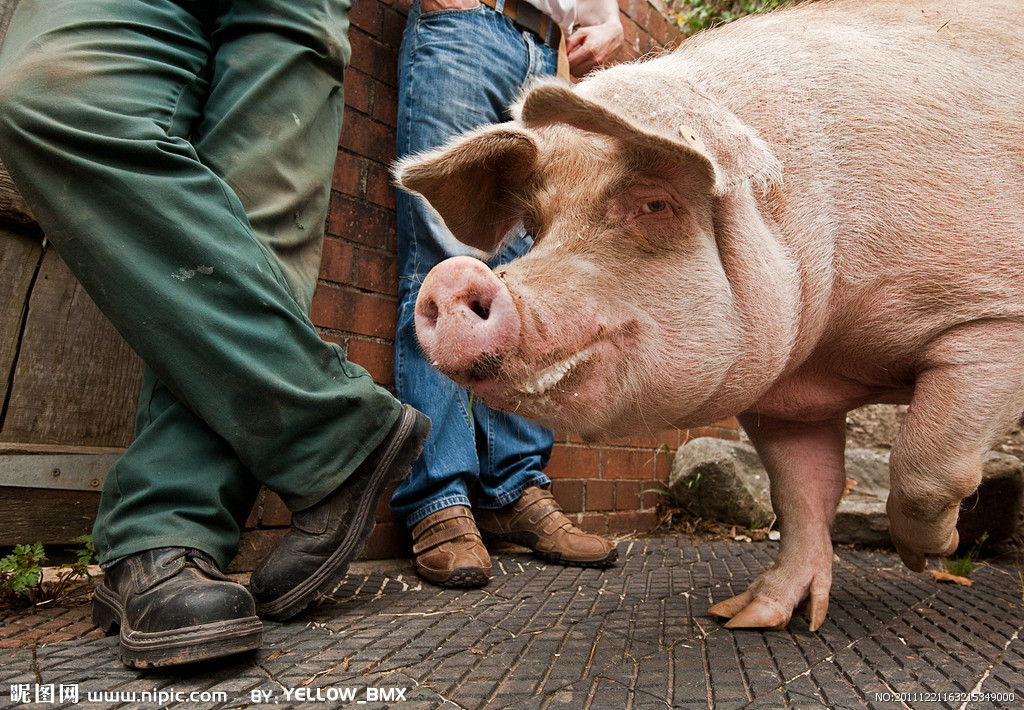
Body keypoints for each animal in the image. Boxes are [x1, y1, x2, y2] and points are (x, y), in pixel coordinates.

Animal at [395, 0, 1024, 631]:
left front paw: (931, 555)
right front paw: (747, 618)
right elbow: (801, 493)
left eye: (655, 204)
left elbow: (925, 464)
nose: (452, 276)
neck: (836, 353)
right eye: (533, 227)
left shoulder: (992, 317)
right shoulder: (783, 394)